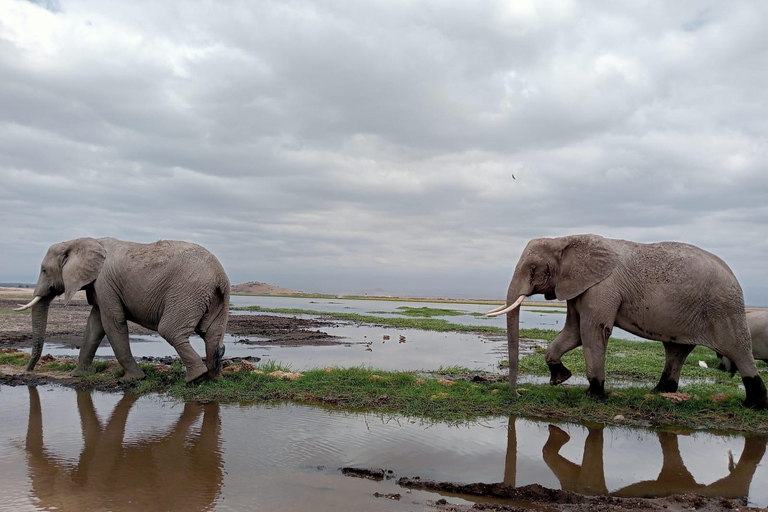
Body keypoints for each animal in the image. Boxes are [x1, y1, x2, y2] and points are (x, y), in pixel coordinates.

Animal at [14, 238, 228, 382]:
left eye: (44, 270)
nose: (28, 371)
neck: (80, 241)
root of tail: (221, 277)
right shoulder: (98, 286)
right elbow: (94, 326)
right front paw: (77, 375)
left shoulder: (105, 283)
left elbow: (112, 323)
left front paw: (133, 379)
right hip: (212, 297)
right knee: (211, 335)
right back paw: (212, 378)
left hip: (187, 291)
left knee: (170, 330)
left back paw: (195, 378)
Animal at [488, 234, 764, 410]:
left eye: (533, 269)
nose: (517, 395)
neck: (564, 239)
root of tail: (733, 277)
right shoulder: (578, 287)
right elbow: (573, 332)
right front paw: (560, 379)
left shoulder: (602, 288)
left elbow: (592, 332)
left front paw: (594, 395)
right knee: (676, 350)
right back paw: (660, 392)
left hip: (723, 309)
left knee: (738, 350)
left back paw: (754, 405)